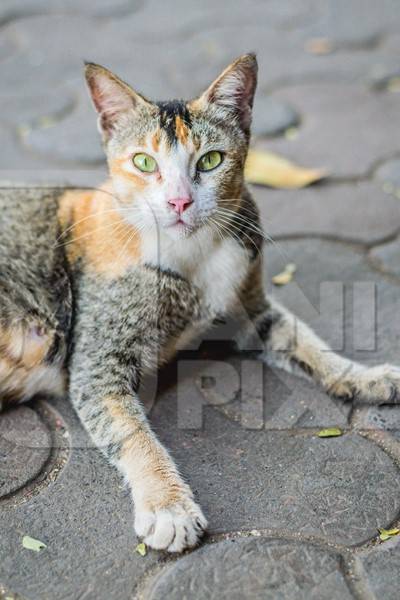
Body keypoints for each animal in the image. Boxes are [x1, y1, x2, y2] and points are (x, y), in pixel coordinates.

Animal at [0, 55, 400, 552]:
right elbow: (133, 433)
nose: (179, 201)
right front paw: (168, 506)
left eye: (210, 161)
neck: (192, 254)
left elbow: (306, 340)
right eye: (144, 162)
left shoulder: (251, 311)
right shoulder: (96, 359)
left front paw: (363, 376)